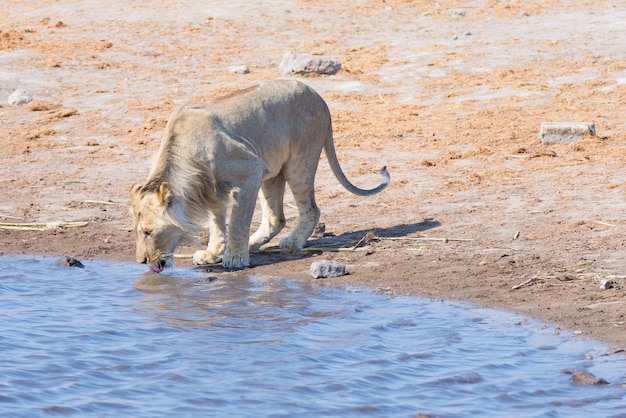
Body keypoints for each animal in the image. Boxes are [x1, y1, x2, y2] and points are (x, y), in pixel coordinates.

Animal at [129, 78, 388, 272]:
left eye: (148, 232)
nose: (141, 261)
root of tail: (318, 96)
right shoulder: (212, 189)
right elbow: (216, 222)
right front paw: (213, 253)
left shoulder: (250, 169)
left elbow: (237, 221)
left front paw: (234, 257)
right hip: (271, 171)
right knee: (276, 218)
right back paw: (253, 243)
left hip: (298, 163)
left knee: (311, 209)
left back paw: (292, 241)